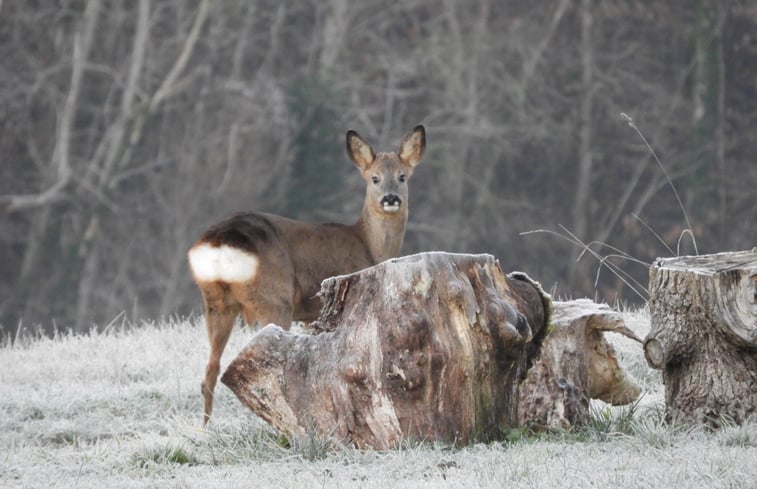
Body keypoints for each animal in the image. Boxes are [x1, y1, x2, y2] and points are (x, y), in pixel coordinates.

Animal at [187, 125, 426, 424]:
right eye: (375, 178)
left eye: (402, 176)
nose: (391, 199)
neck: (368, 245)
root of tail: (220, 241)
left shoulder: (311, 314)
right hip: (273, 298)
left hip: (216, 302)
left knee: (210, 371)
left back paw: (205, 428)